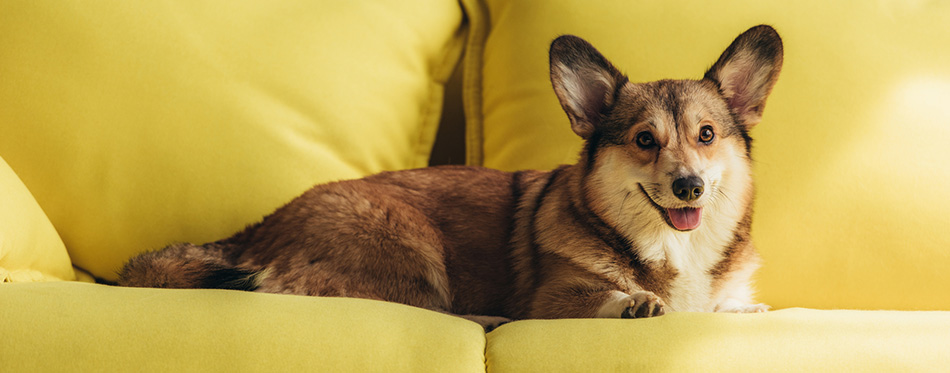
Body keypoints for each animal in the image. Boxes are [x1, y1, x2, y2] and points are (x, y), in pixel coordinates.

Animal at [119, 25, 784, 328]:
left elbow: (727, 306)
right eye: (645, 140)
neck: (673, 248)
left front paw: (743, 311)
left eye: (706, 135)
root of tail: (255, 229)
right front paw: (636, 302)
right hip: (408, 246)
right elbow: (603, 295)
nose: (689, 186)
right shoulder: (555, 297)